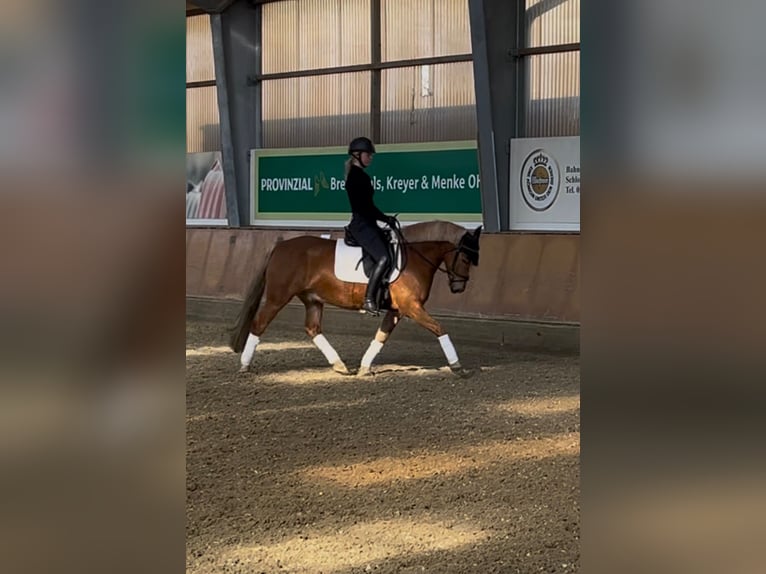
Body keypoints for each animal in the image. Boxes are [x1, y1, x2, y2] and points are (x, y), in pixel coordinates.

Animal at [229, 220, 481, 376]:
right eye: (466, 259)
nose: (458, 287)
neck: (413, 257)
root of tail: (279, 246)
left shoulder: (397, 310)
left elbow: (381, 336)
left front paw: (364, 367)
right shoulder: (411, 307)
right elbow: (439, 328)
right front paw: (457, 366)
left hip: (313, 299)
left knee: (312, 328)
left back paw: (340, 365)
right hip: (277, 297)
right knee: (259, 324)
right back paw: (244, 366)